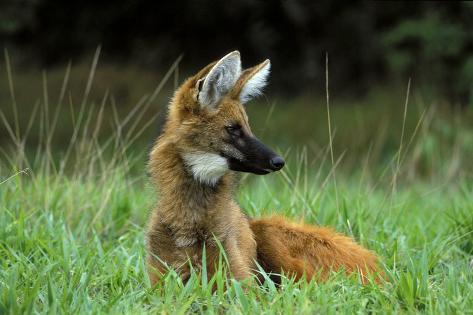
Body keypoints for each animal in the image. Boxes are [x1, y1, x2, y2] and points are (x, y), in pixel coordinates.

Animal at [146, 50, 378, 286]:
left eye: (248, 128)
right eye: (233, 129)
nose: (278, 161)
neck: (189, 227)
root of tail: (377, 267)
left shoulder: (240, 281)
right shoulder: (160, 283)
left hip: (269, 232)